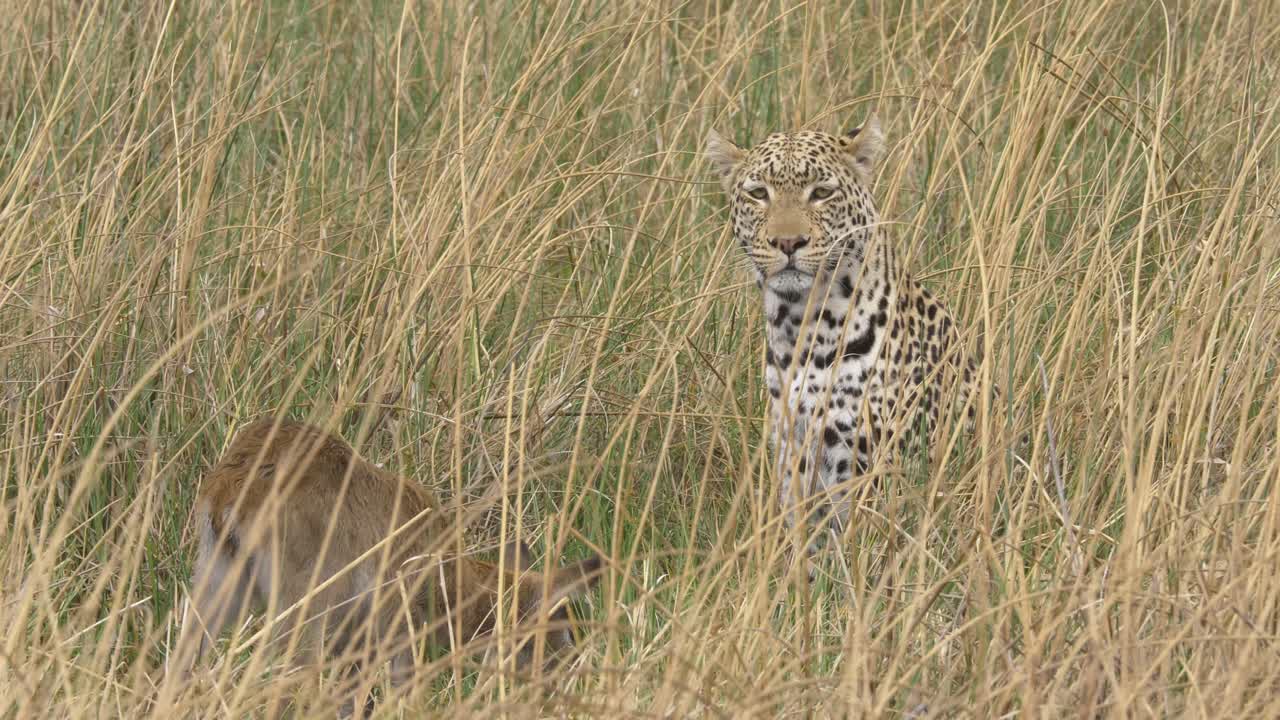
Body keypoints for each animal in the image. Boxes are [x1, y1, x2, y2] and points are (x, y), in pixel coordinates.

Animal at [704, 115, 985, 557]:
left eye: (821, 193)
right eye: (758, 194)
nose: (788, 242)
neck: (799, 330)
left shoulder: (872, 465)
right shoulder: (794, 453)